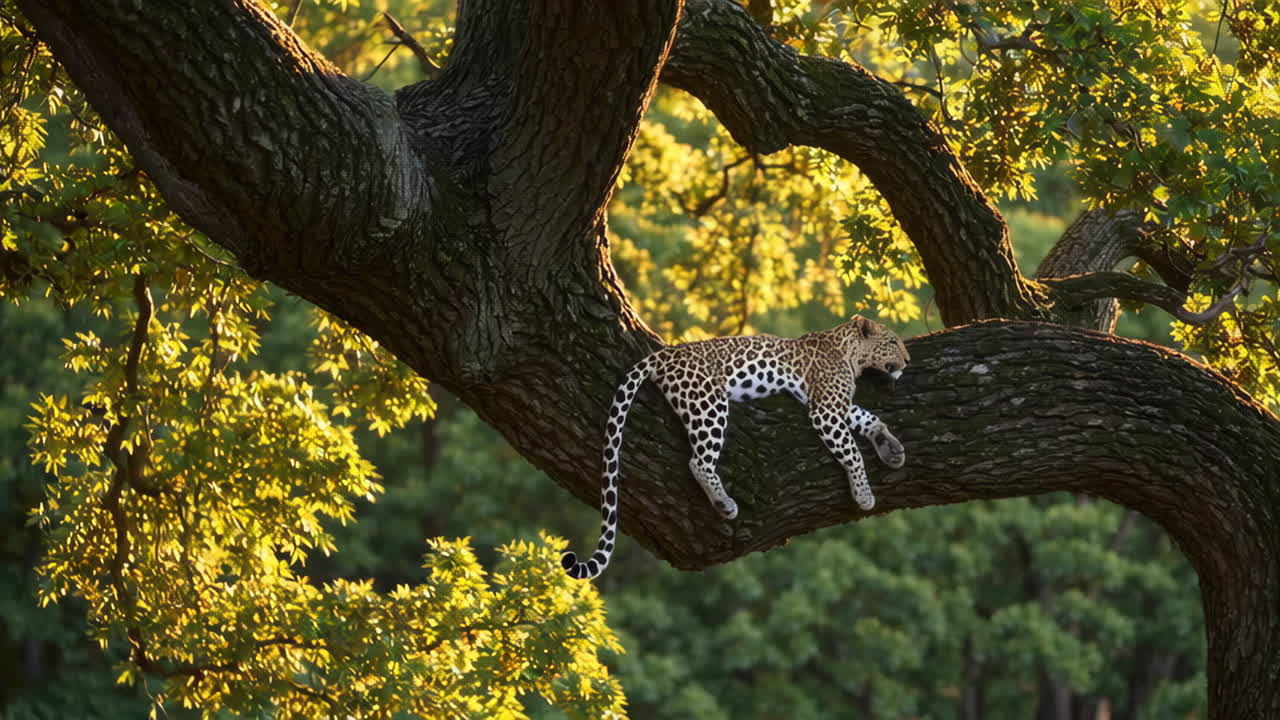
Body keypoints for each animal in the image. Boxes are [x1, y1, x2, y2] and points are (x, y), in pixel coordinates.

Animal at [562, 315, 910, 580]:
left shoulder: (839, 406)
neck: (850, 351)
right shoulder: (825, 409)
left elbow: (869, 418)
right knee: (698, 461)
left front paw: (890, 447)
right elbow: (852, 452)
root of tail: (665, 354)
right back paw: (724, 503)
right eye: (893, 341)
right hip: (708, 403)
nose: (907, 361)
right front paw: (864, 494)